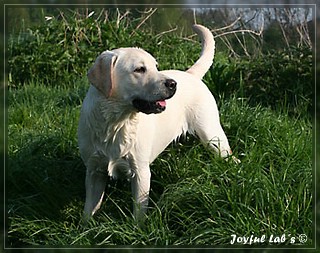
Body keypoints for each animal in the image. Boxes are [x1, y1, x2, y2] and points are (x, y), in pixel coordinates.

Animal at [77, 24, 238, 221]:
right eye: (139, 69)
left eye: (155, 67)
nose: (173, 84)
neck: (116, 123)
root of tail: (190, 74)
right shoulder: (94, 171)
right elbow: (88, 210)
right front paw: (84, 227)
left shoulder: (141, 171)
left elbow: (138, 212)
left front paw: (137, 228)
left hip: (213, 136)